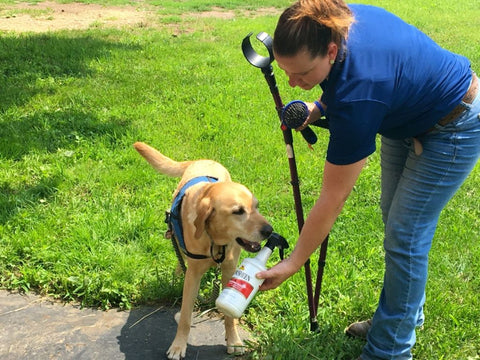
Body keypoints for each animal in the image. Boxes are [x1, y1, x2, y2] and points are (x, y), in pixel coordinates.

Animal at [133, 143, 272, 360]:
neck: (214, 240)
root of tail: (204, 160)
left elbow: (229, 316)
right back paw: (177, 274)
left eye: (256, 207)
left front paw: (234, 340)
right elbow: (185, 316)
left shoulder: (229, 270)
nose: (269, 230)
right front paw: (178, 346)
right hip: (176, 238)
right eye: (238, 211)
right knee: (180, 258)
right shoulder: (193, 276)